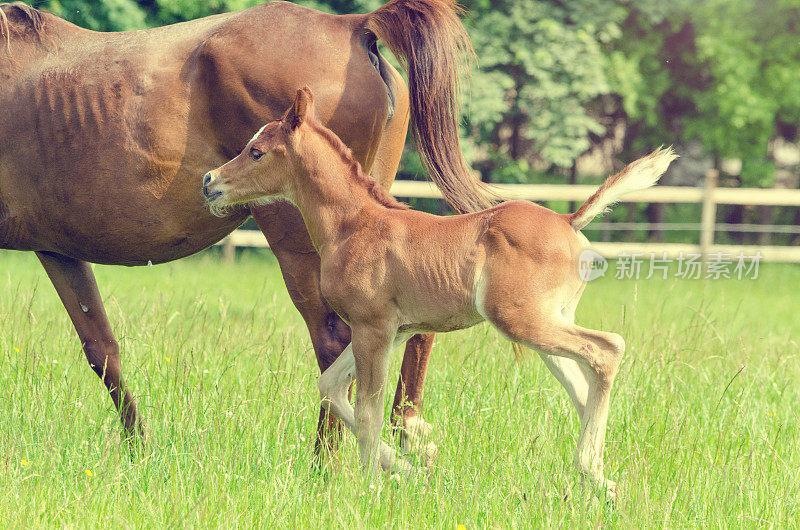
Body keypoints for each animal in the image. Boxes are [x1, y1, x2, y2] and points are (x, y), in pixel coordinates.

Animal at [0, 0, 490, 448]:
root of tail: (353, 26)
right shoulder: (58, 249)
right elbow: (102, 349)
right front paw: (139, 446)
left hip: (300, 245)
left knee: (335, 343)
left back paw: (325, 464)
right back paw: (404, 436)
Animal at [203, 86, 680, 496]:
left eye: (256, 151)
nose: (210, 181)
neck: (354, 224)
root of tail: (569, 220)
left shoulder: (373, 328)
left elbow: (368, 410)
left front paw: (373, 487)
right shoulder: (393, 331)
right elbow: (331, 386)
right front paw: (409, 465)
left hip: (520, 319)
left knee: (607, 349)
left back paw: (590, 472)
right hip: (547, 322)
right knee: (583, 388)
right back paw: (599, 481)